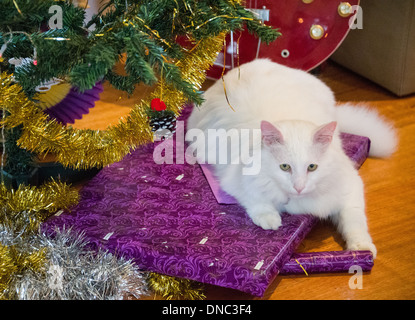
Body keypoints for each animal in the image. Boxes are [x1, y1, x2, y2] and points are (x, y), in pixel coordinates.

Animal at [187, 58, 398, 258]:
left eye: (312, 167)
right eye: (284, 167)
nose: (299, 187)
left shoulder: (351, 187)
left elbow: (355, 222)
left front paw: (362, 249)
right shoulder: (234, 180)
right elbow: (256, 200)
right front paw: (270, 219)